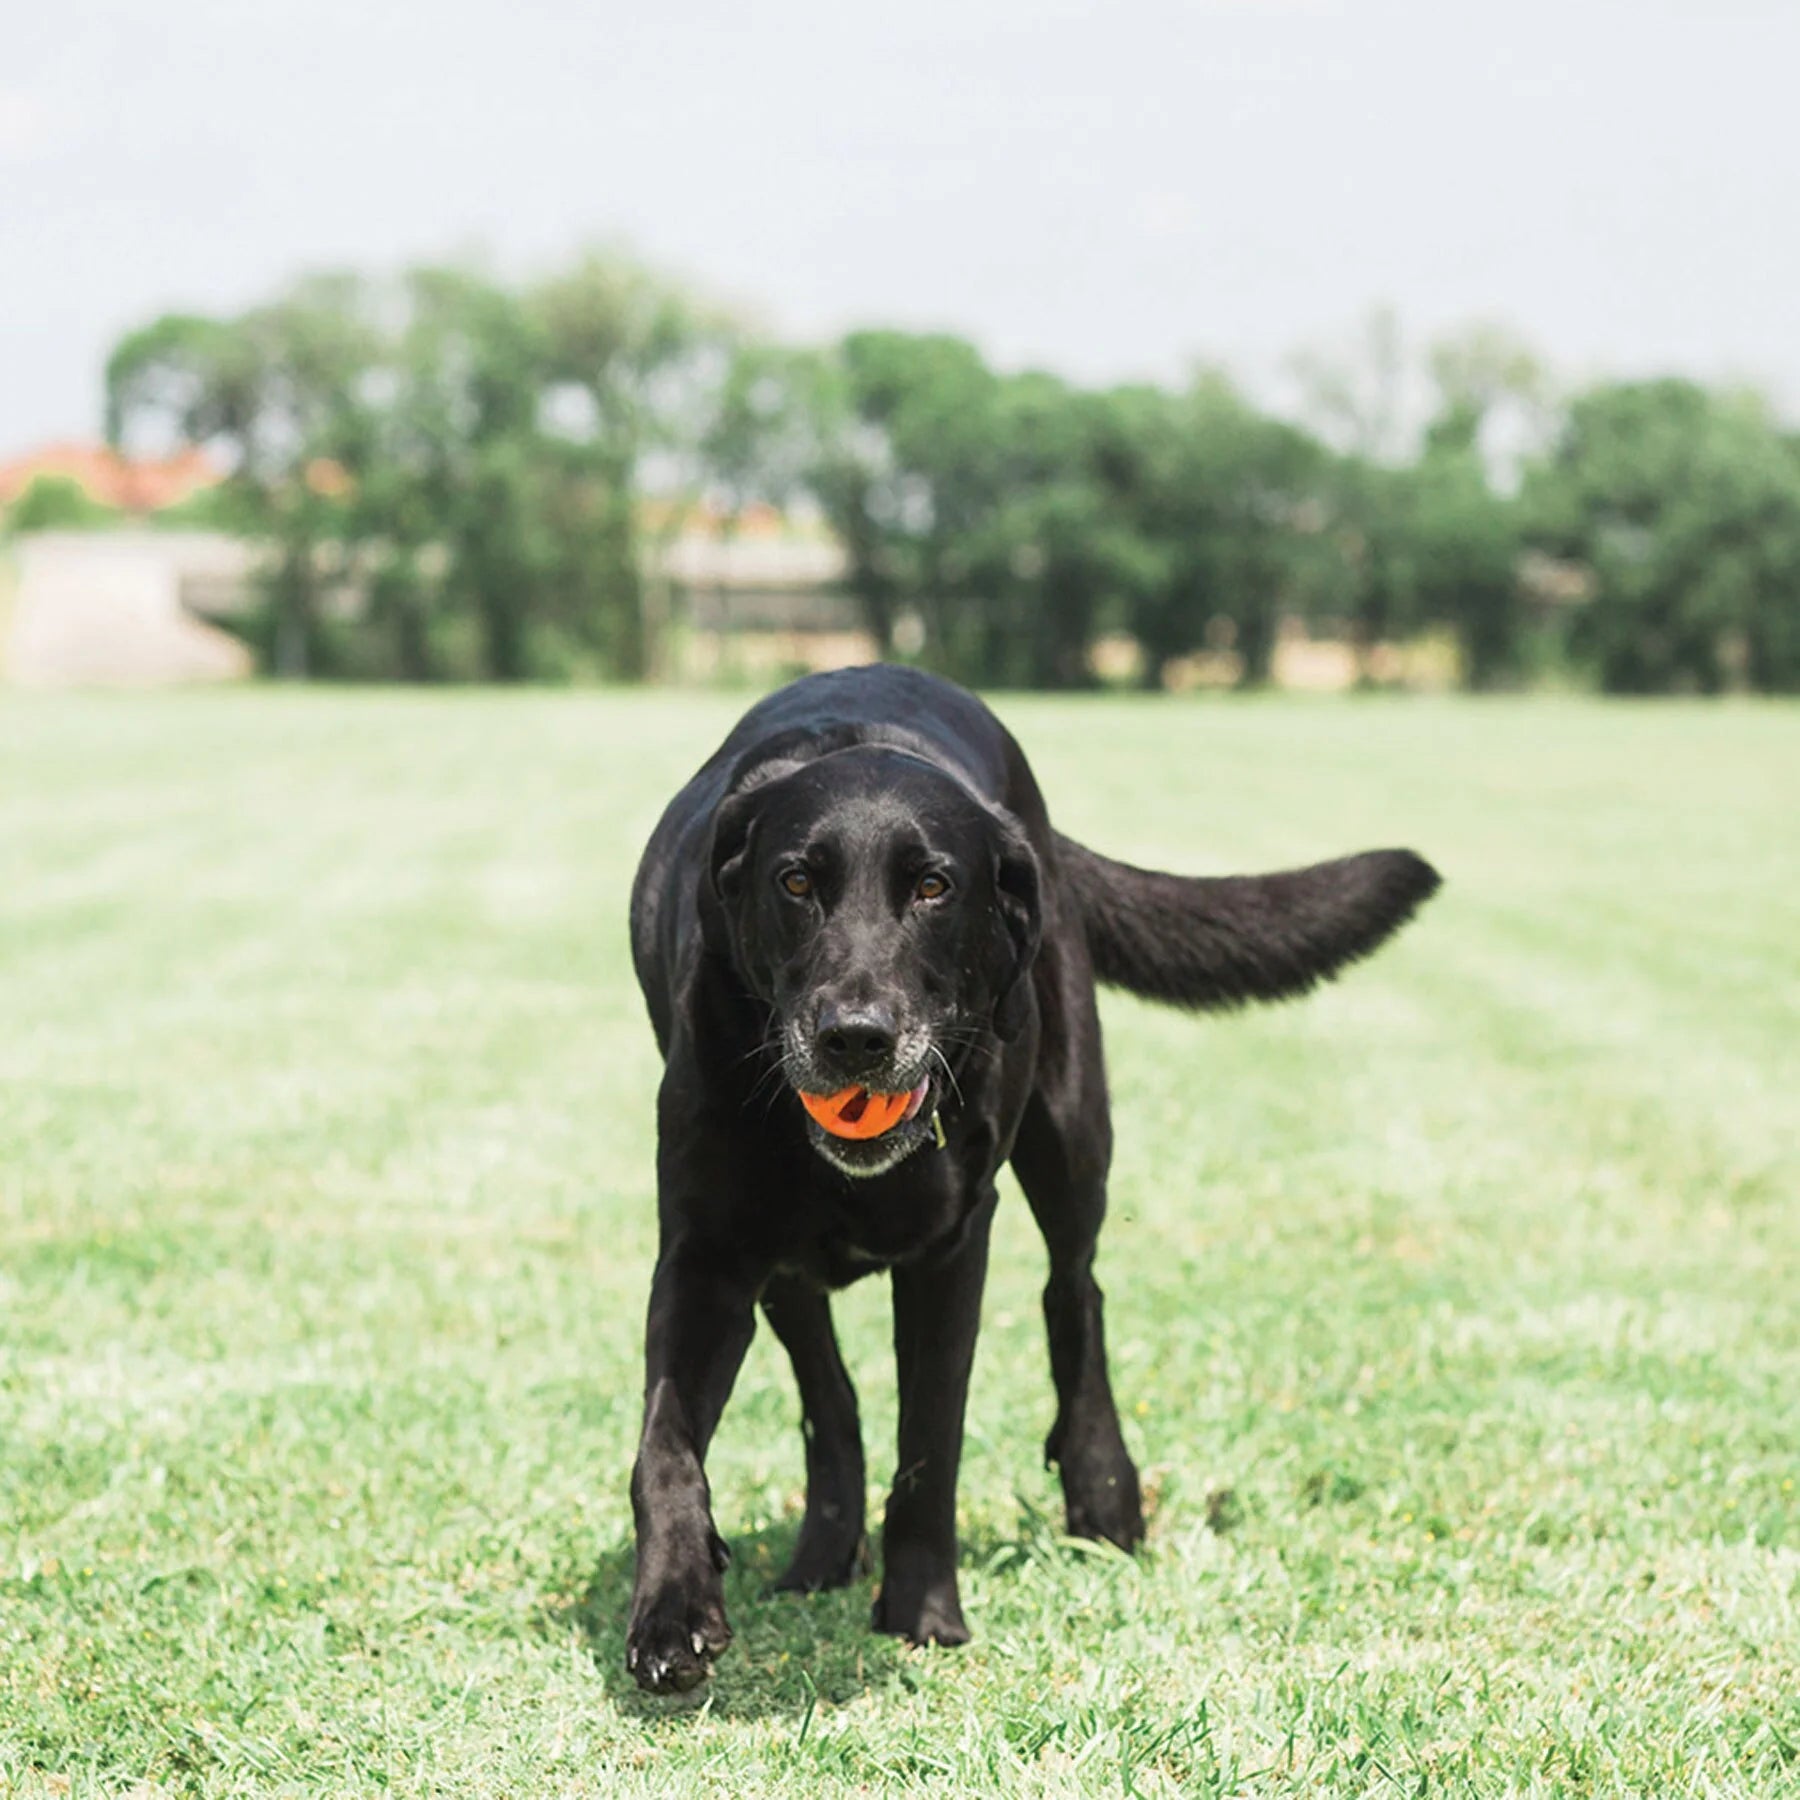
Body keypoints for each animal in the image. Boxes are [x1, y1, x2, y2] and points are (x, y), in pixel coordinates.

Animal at [626, 662, 1440, 1684]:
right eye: (797, 881)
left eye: (934, 886)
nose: (856, 1038)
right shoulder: (705, 1255)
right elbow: (665, 1447)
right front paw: (671, 1611)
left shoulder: (952, 1248)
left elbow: (932, 1439)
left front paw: (924, 1615)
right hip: (785, 1264)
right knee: (828, 1388)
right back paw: (823, 1547)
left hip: (1070, 1127)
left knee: (1074, 1290)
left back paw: (1102, 1489)